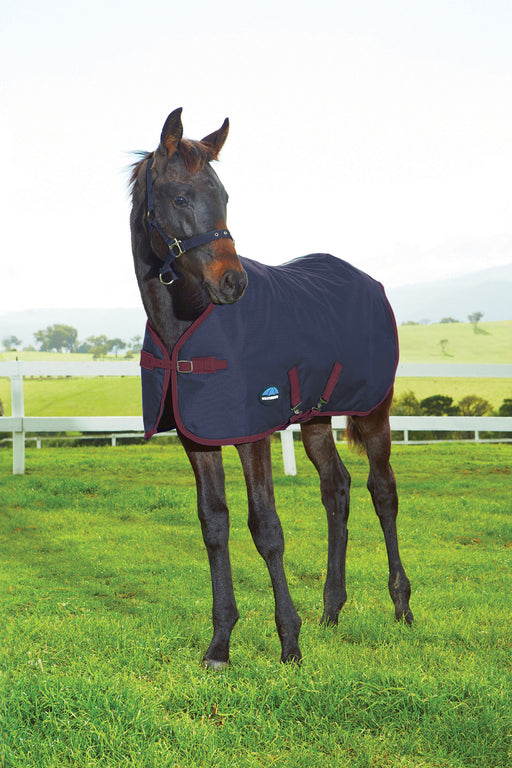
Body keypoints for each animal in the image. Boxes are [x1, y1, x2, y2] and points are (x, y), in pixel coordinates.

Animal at [129, 108, 413, 668]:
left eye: (225, 195)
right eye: (180, 197)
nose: (233, 283)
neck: (186, 327)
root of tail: (369, 282)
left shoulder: (252, 433)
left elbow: (266, 528)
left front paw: (289, 643)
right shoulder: (198, 438)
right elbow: (214, 526)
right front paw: (220, 645)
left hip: (374, 410)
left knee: (382, 490)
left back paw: (401, 606)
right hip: (317, 418)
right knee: (336, 489)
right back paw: (332, 610)